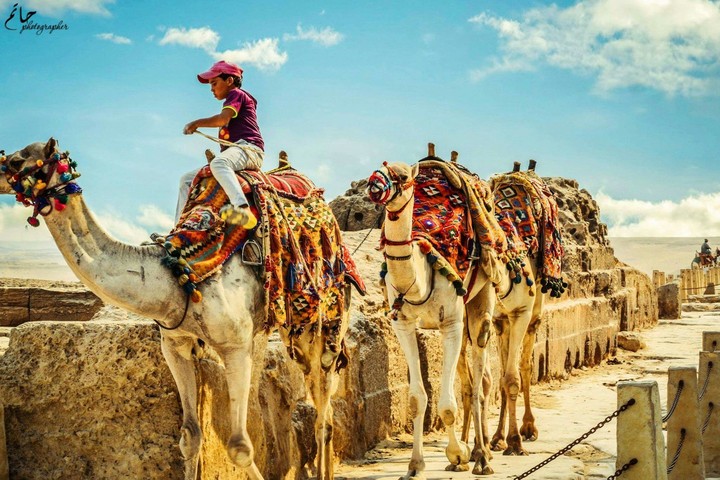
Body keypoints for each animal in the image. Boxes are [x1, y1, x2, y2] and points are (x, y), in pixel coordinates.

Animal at [0, 138, 355, 480]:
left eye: (17, 160)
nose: (1, 170)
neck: (178, 275)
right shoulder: (176, 345)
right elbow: (190, 436)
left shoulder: (234, 347)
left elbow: (239, 447)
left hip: (324, 318)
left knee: (323, 399)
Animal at [366, 146, 505, 477]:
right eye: (378, 166)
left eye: (403, 175)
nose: (374, 184)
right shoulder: (403, 324)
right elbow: (418, 398)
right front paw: (416, 465)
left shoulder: (451, 323)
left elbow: (448, 405)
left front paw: (458, 453)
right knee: (470, 378)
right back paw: (473, 451)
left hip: (481, 299)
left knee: (480, 379)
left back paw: (482, 456)